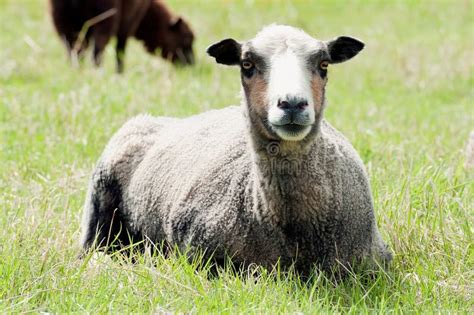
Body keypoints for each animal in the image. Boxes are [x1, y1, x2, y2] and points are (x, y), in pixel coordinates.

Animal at [49, 0, 193, 72]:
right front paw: (120, 72)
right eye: (187, 39)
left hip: (61, 18)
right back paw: (97, 72)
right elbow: (120, 50)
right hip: (105, 16)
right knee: (97, 51)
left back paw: (75, 70)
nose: (192, 65)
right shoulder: (129, 21)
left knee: (72, 50)